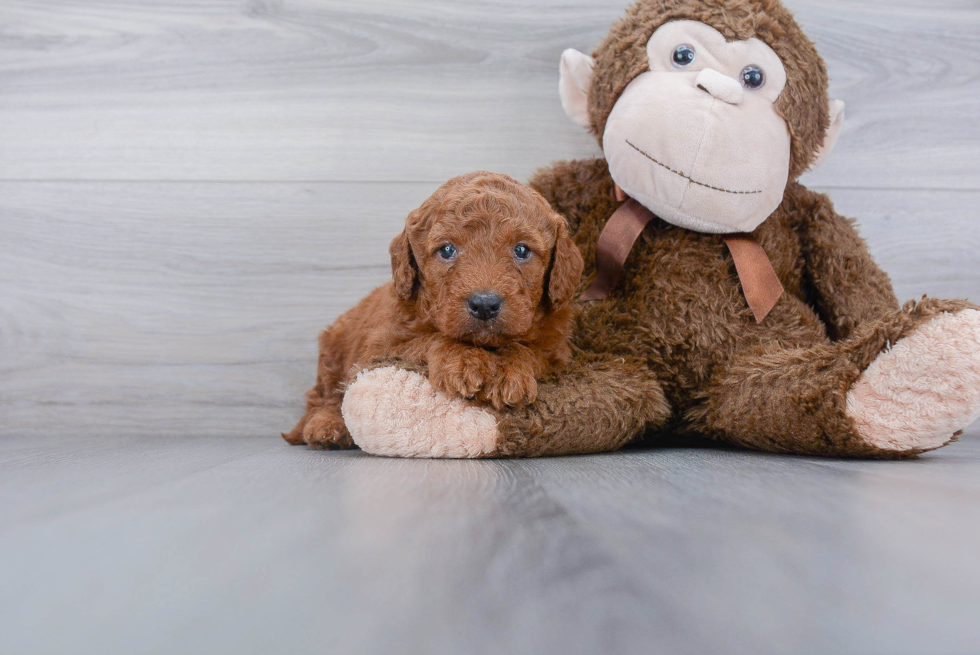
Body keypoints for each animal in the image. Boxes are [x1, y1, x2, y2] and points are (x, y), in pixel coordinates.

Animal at [284, 170, 580, 452]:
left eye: (521, 250)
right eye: (447, 250)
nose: (484, 304)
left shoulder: (557, 354)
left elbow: (527, 350)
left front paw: (508, 373)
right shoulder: (383, 346)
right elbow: (432, 338)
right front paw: (463, 362)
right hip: (333, 352)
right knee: (326, 397)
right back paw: (327, 427)